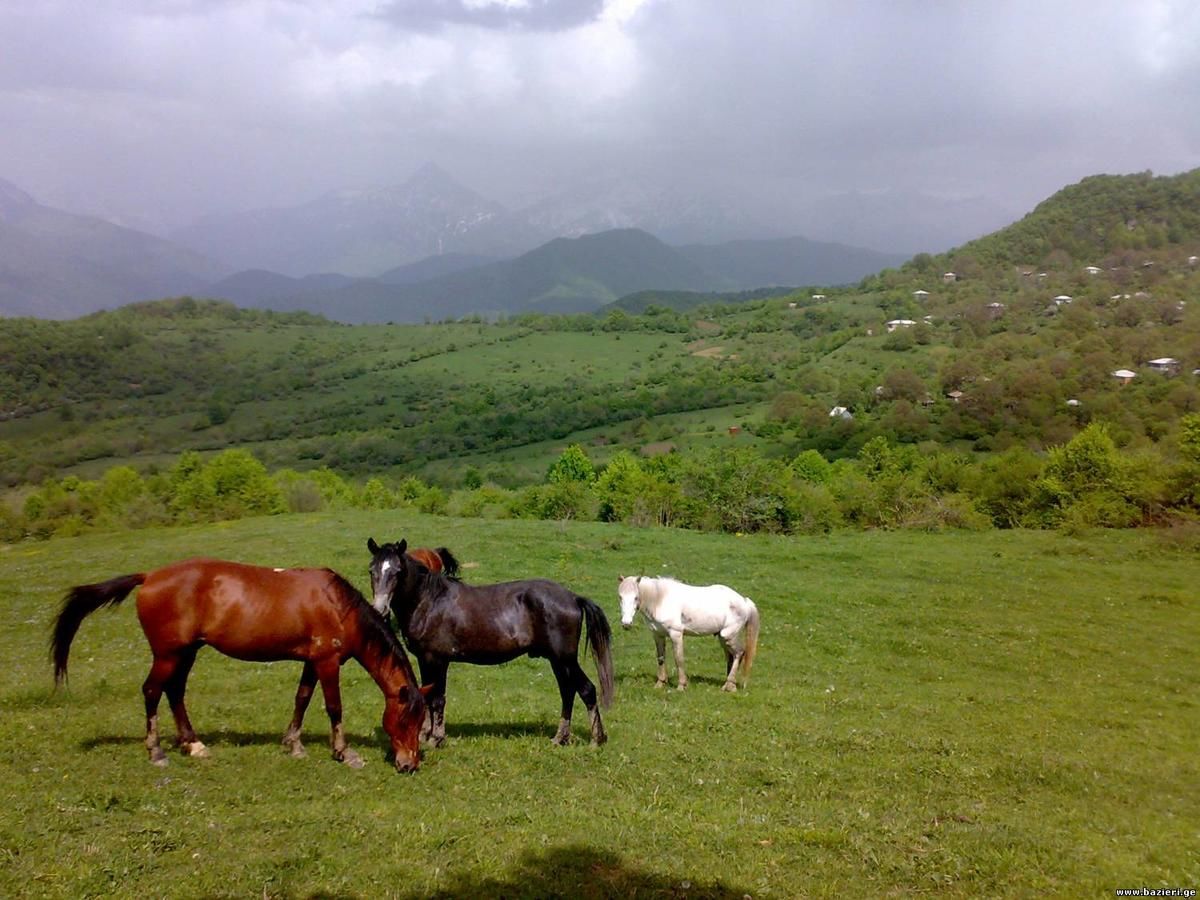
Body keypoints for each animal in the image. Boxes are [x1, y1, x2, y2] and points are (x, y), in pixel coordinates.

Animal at [54, 561, 436, 772]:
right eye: (406, 720)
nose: (410, 764)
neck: (338, 607)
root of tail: (149, 577)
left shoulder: (311, 662)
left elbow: (302, 699)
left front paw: (293, 744)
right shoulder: (327, 663)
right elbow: (333, 707)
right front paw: (344, 752)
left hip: (186, 653)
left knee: (175, 692)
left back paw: (192, 744)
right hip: (168, 655)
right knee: (152, 691)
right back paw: (157, 750)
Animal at [364, 540, 614, 748]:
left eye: (397, 571)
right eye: (372, 571)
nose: (380, 610)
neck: (429, 602)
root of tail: (573, 598)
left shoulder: (437, 660)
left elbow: (438, 699)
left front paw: (437, 738)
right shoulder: (424, 660)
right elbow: (426, 696)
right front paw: (425, 735)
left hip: (565, 659)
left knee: (587, 690)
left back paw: (595, 740)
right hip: (557, 661)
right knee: (567, 692)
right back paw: (560, 738)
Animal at [619, 573, 758, 696]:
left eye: (636, 597)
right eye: (620, 597)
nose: (626, 623)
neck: (660, 600)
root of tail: (744, 602)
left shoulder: (676, 635)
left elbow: (678, 659)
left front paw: (681, 686)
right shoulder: (658, 635)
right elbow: (661, 658)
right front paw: (660, 683)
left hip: (728, 636)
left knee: (739, 653)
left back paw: (729, 685)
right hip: (723, 639)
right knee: (731, 656)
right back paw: (729, 685)